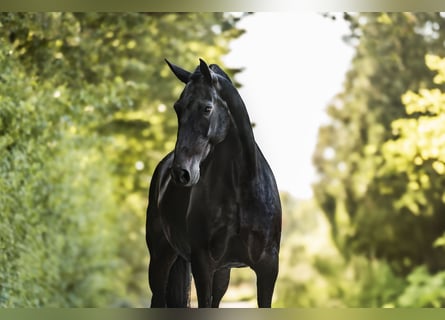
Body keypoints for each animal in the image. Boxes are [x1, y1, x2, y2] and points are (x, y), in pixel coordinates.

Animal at [146, 58, 280, 308]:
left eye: (207, 108)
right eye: (178, 108)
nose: (181, 173)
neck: (242, 190)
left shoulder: (268, 268)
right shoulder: (202, 266)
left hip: (222, 273)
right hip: (159, 259)